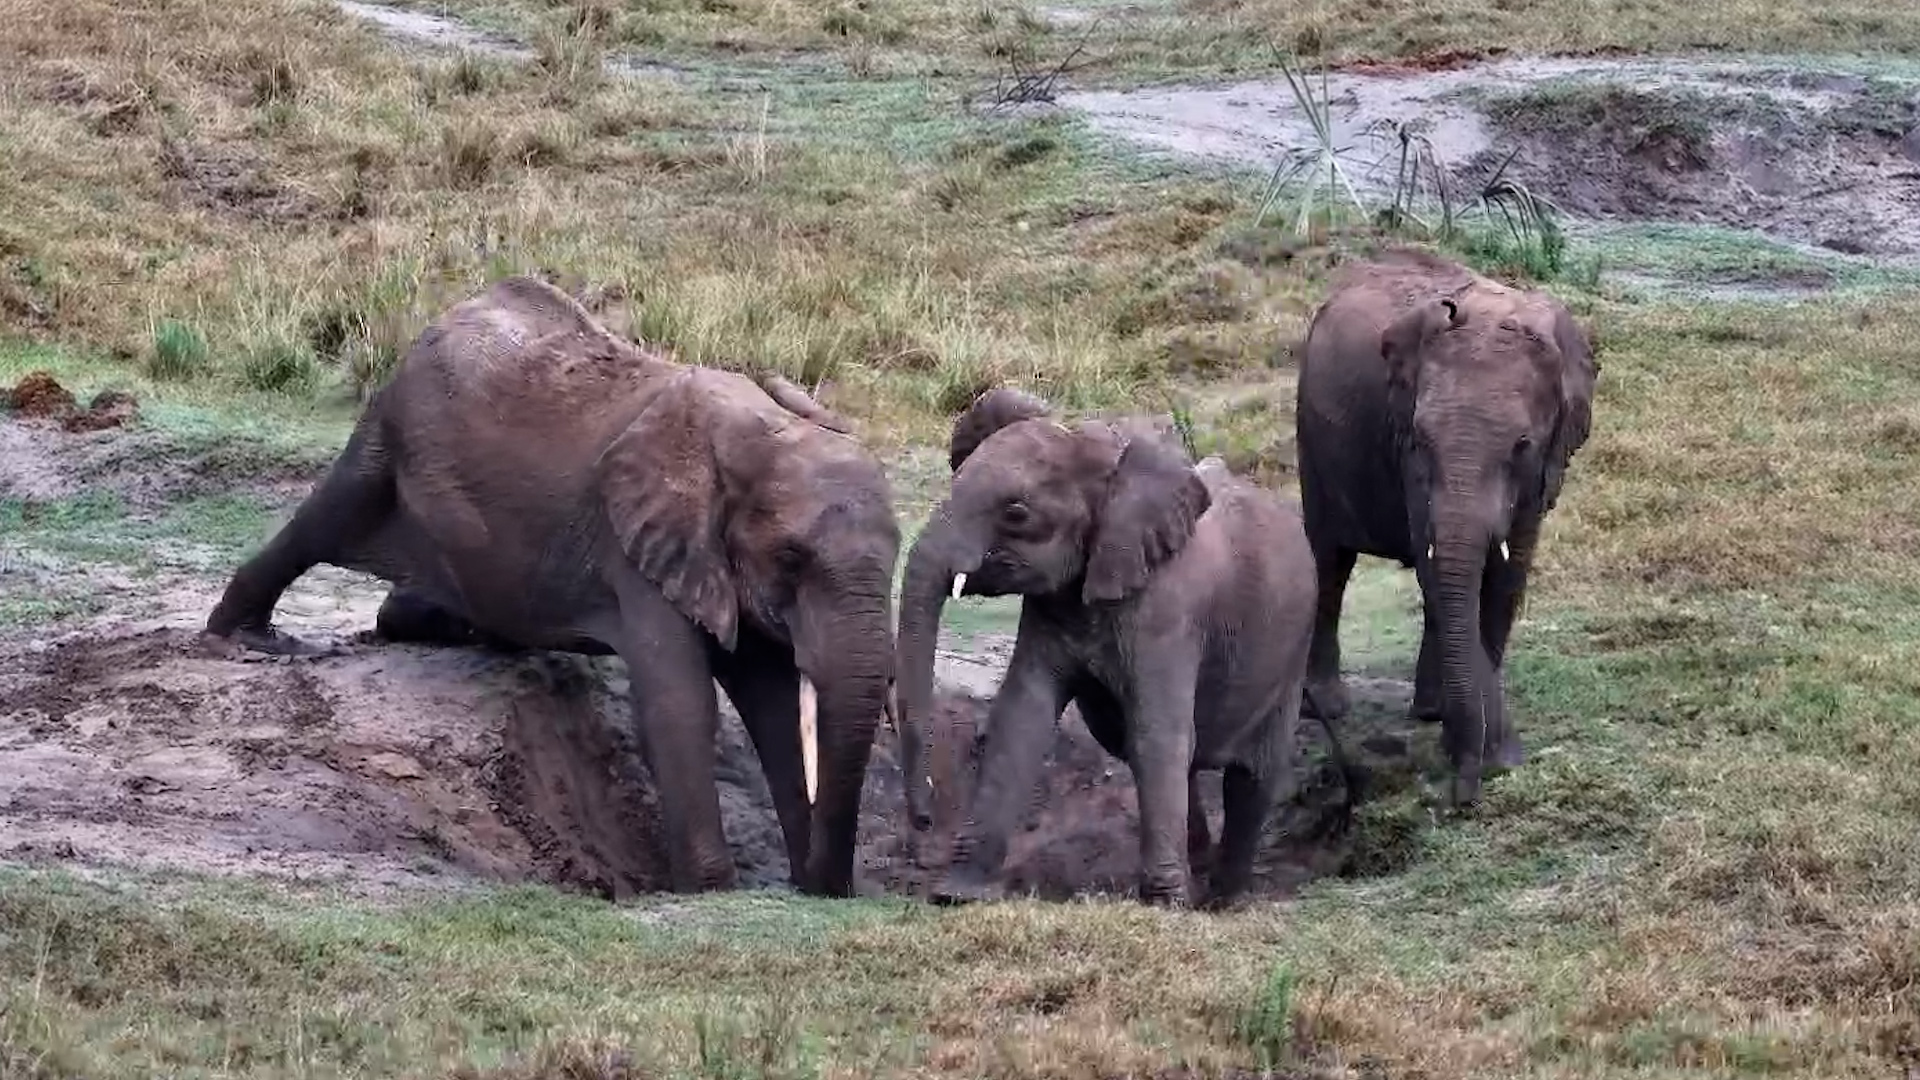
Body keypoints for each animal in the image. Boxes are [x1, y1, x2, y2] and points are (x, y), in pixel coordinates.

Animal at [201, 275, 901, 898]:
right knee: (327, 517)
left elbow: (771, 709)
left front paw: (801, 882)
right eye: (790, 557)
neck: (758, 433)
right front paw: (711, 889)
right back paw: (250, 639)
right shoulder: (638, 546)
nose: (834, 888)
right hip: (392, 422)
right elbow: (679, 705)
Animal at [893, 388, 1321, 909]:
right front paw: (959, 895)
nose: (924, 820)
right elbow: (1021, 718)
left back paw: (1225, 900)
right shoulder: (1050, 606)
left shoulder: (1168, 608)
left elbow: (1155, 733)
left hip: (1295, 644)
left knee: (1254, 775)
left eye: (1016, 513)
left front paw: (1165, 906)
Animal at [1294, 248, 1598, 807]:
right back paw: (1327, 706)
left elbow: (1507, 577)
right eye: (1420, 440)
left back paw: (1430, 709)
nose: (1463, 792)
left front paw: (1486, 749)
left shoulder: (1546, 467)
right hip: (1311, 433)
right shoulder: (1406, 459)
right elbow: (1436, 568)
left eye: (1522, 445)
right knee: (1330, 559)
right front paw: (1476, 748)